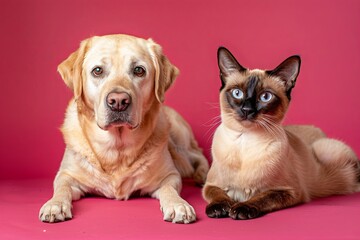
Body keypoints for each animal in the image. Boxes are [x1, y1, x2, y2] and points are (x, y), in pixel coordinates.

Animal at [39, 34, 208, 224]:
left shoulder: (170, 175)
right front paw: (55, 205)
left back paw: (202, 175)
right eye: (97, 71)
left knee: (199, 154)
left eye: (139, 70)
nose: (118, 101)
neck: (116, 149)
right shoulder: (66, 175)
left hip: (179, 143)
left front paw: (178, 204)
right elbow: (62, 188)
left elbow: (169, 189)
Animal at [202, 46, 360, 219]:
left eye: (265, 97)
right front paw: (219, 208)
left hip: (325, 148)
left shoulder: (288, 191)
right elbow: (218, 194)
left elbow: (263, 197)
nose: (247, 110)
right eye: (237, 93)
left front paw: (242, 208)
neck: (246, 140)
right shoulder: (210, 185)